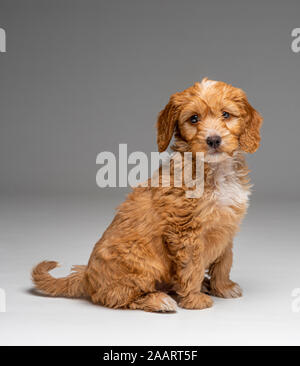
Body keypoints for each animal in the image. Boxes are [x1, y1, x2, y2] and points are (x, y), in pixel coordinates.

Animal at [31, 78, 262, 312]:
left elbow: (225, 260)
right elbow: (192, 267)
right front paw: (194, 300)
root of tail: (86, 276)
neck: (215, 170)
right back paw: (158, 299)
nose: (213, 140)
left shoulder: (227, 226)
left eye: (226, 115)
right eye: (194, 118)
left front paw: (223, 287)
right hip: (143, 264)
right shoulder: (185, 232)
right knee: (118, 295)